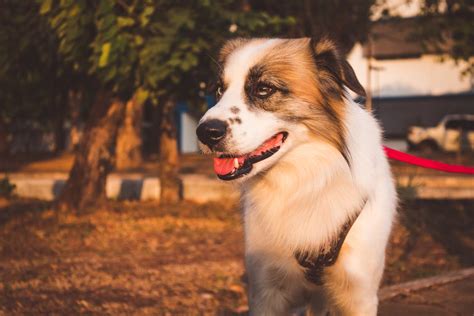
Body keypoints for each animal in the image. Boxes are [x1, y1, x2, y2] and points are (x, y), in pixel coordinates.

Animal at [194, 38, 398, 314]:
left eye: (264, 89)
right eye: (219, 90)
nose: (205, 132)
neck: (304, 179)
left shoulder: (358, 294)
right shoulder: (265, 290)